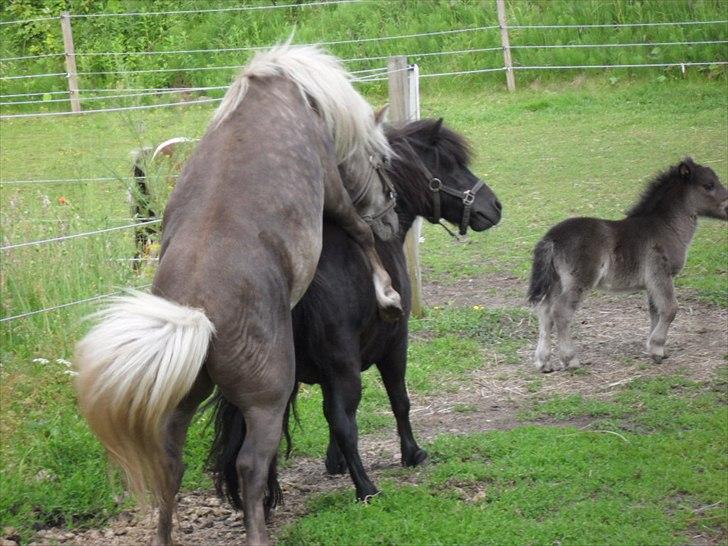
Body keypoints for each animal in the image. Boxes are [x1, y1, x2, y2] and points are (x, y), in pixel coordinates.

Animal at [210, 118, 504, 502]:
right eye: (448, 164)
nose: (495, 206)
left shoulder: (327, 372)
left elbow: (329, 414)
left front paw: (333, 463)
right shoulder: (394, 346)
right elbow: (398, 400)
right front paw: (412, 453)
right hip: (345, 366)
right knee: (345, 420)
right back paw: (365, 487)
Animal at [528, 157, 728, 370]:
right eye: (708, 185)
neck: (666, 226)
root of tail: (552, 238)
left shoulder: (652, 282)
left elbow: (655, 311)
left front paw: (653, 348)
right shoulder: (661, 274)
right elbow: (670, 309)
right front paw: (657, 349)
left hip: (556, 281)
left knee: (545, 311)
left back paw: (543, 361)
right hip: (578, 282)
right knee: (561, 312)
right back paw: (570, 359)